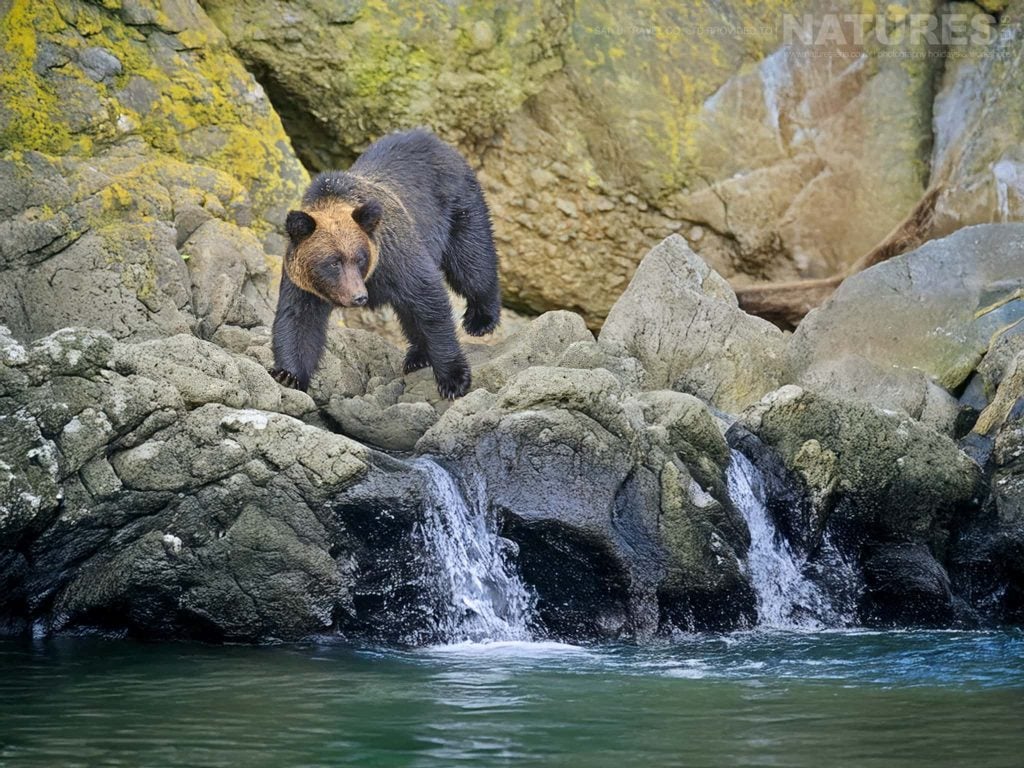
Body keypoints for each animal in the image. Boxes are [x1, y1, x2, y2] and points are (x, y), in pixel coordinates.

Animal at [269, 128, 501, 400]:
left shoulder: (395, 257)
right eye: (333, 262)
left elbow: (429, 301)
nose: (359, 297)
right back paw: (417, 355)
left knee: (472, 261)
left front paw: (453, 379)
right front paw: (287, 374)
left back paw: (481, 319)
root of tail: (435, 139)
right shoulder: (303, 283)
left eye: (359, 258)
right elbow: (298, 321)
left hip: (459, 207)